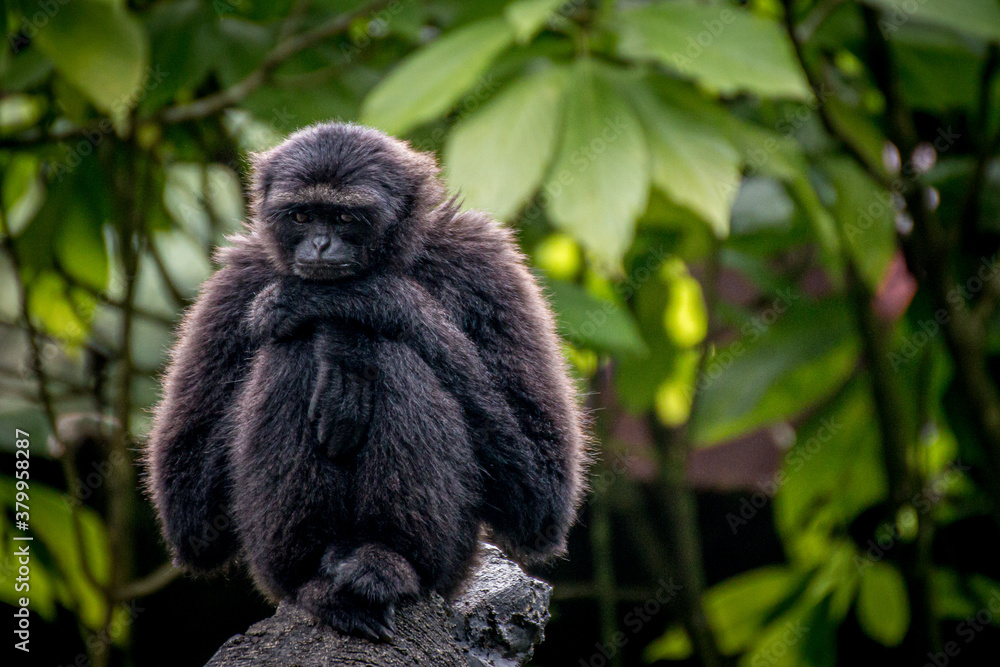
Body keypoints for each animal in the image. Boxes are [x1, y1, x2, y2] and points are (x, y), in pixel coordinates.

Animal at [145, 122, 588, 641]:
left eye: (344, 216)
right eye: (302, 215)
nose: (319, 245)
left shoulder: (485, 262)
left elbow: (540, 497)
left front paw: (354, 312)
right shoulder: (234, 281)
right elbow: (191, 513)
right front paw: (333, 330)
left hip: (454, 566)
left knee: (396, 356)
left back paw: (385, 564)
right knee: (291, 352)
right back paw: (321, 584)